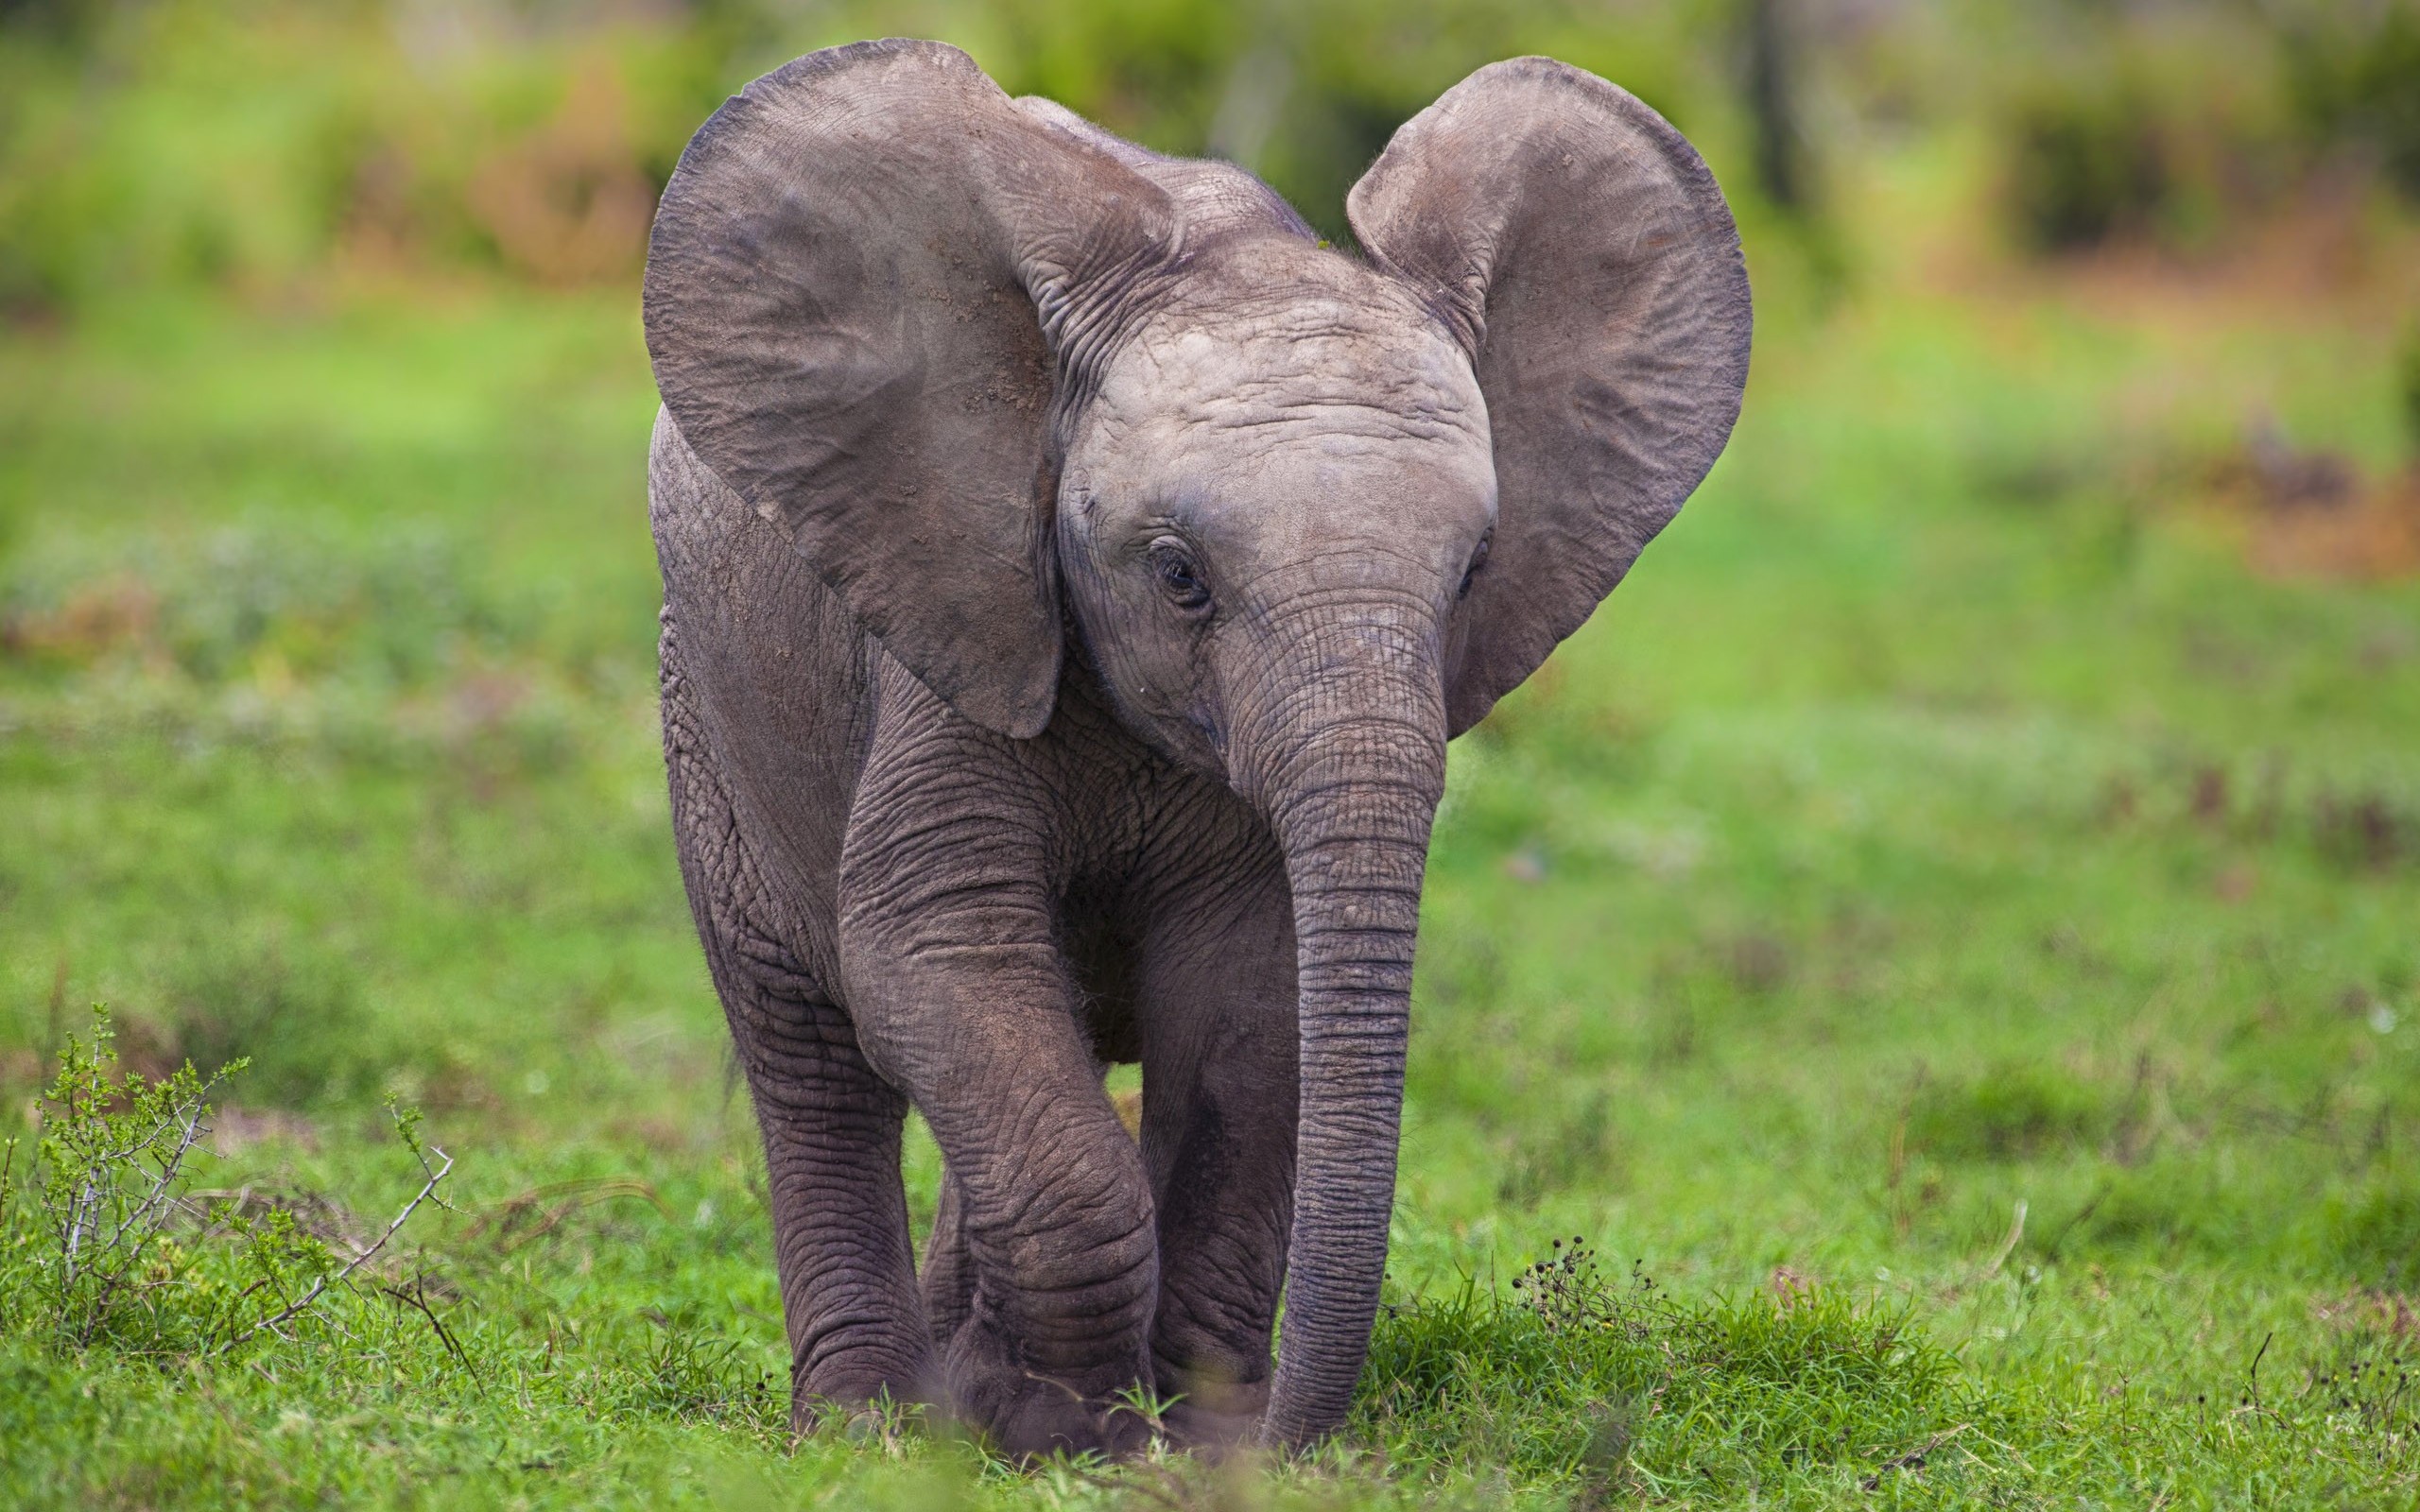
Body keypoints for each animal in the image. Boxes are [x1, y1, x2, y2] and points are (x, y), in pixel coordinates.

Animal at [641, 38, 1749, 1459]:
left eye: (1470, 577)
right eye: (1178, 576)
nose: (1281, 1431)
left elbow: (1247, 1002)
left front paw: (1172, 1431)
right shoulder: (955, 628)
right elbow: (933, 949)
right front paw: (1058, 1425)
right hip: (707, 694)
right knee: (809, 1049)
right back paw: (865, 1423)